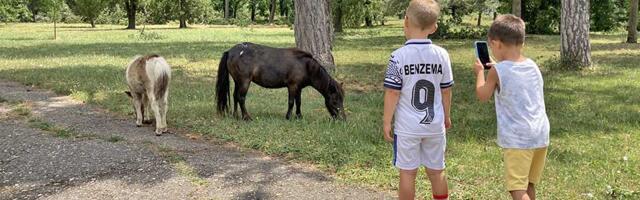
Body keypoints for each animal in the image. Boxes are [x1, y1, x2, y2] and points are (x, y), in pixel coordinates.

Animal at [215, 42, 344, 120]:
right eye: (335, 101)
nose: (343, 119)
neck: (305, 65)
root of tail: (230, 51)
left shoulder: (299, 88)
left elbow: (298, 102)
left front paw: (299, 116)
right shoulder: (292, 86)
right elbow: (291, 102)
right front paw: (288, 117)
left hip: (238, 82)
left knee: (235, 96)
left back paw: (236, 115)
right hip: (244, 82)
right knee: (241, 98)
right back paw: (246, 117)